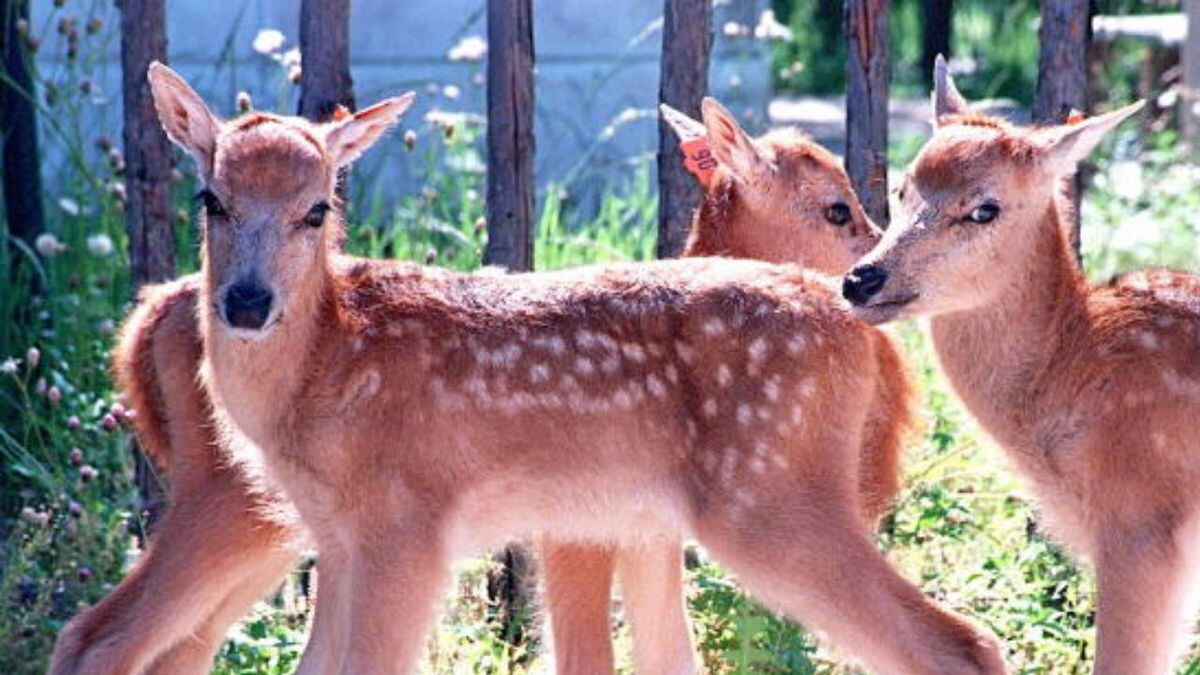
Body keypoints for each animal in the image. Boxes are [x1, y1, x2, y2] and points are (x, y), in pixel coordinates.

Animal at [135, 61, 1005, 675]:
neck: (325, 365)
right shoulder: (341, 539)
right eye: (211, 199)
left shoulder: (408, 526)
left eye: (317, 209)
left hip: (770, 498)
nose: (247, 302)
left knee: (960, 642)